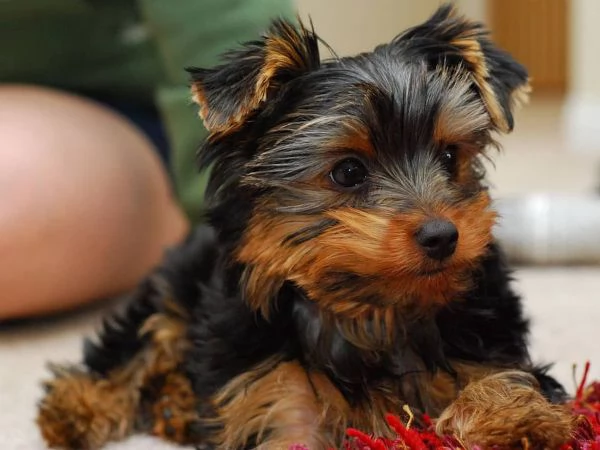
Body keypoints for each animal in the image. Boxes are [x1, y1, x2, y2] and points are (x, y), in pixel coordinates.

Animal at [36, 4, 572, 450]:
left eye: (449, 156)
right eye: (349, 172)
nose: (443, 236)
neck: (371, 311)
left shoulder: (488, 347)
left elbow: (498, 379)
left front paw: (519, 421)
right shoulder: (278, 398)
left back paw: (175, 405)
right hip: (176, 283)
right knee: (136, 342)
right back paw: (81, 407)